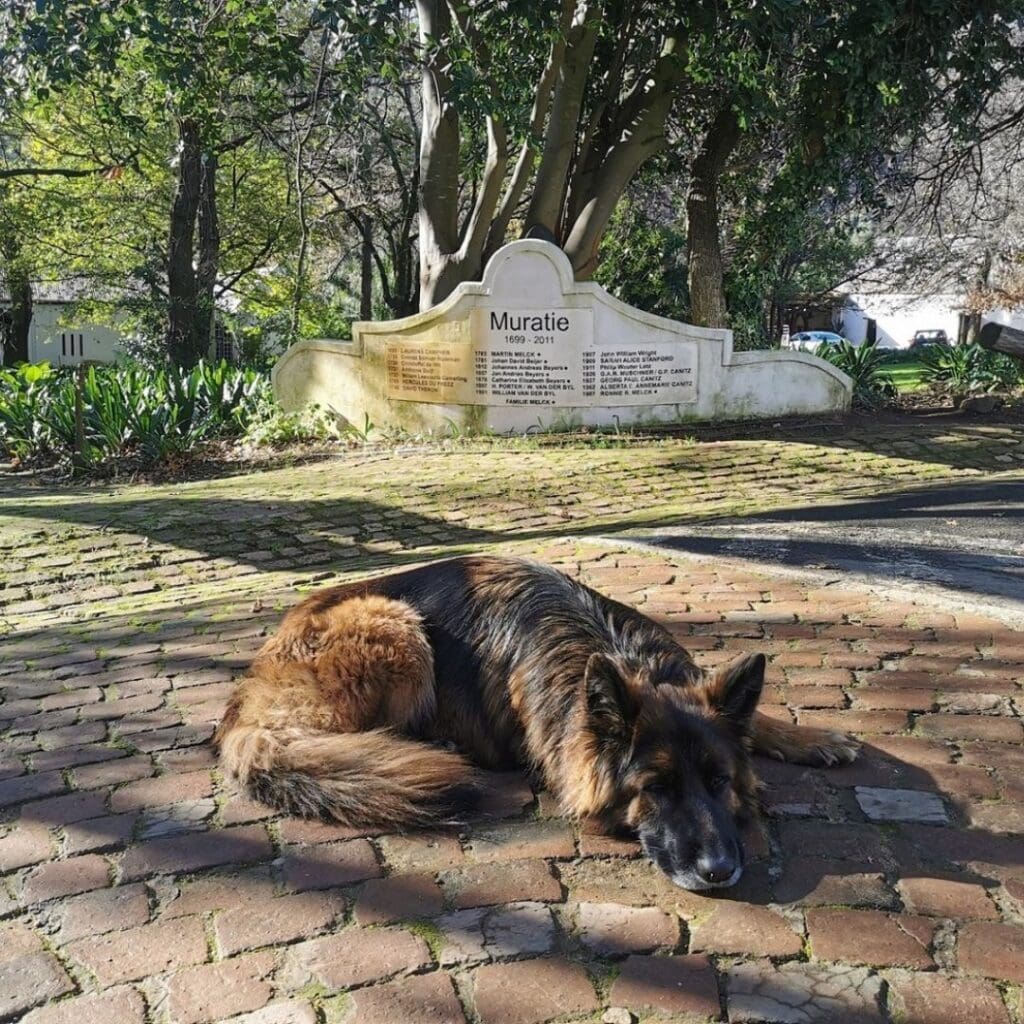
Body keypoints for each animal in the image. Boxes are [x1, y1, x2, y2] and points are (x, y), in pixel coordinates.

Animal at [216, 552, 856, 888]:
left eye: (720, 781)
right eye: (654, 789)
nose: (719, 870)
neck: (618, 652)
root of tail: (255, 682)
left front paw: (812, 736)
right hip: (395, 625)